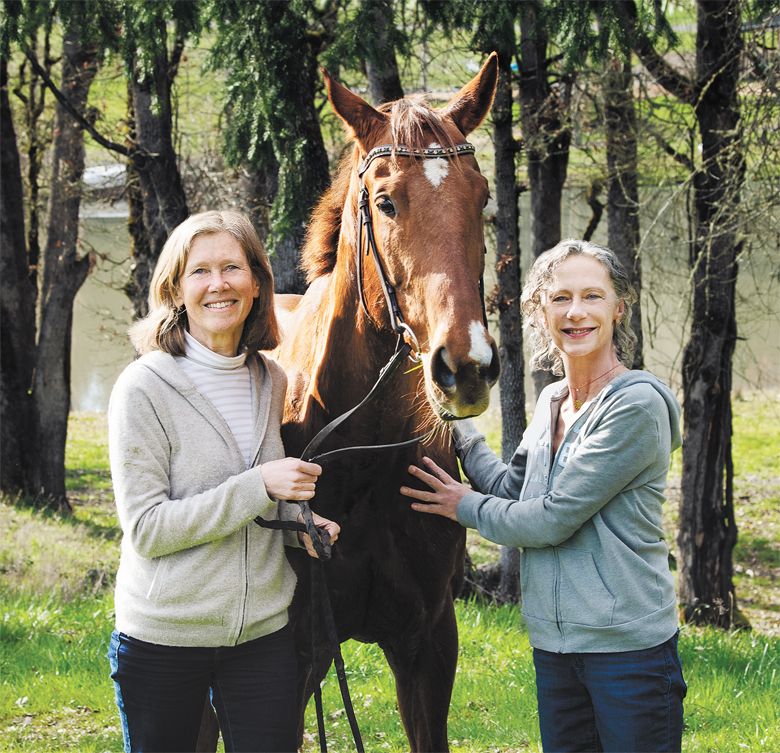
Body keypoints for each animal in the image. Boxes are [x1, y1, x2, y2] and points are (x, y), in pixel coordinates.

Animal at [278, 55, 500, 748]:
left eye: (482, 197)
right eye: (386, 201)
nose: (467, 366)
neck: (361, 454)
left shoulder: (428, 648)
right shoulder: (292, 661)